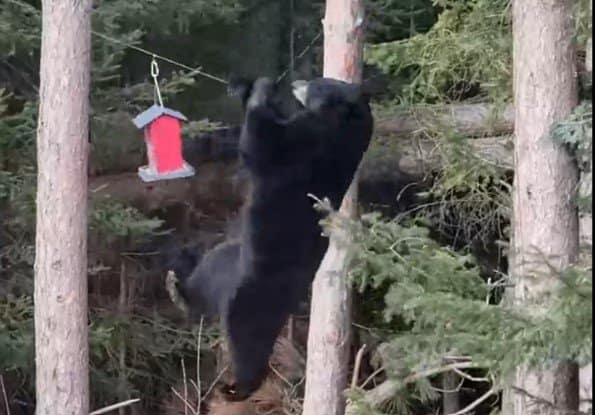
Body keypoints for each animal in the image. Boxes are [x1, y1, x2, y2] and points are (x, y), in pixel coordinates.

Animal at [168, 75, 372, 404]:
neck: (345, 123)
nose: (297, 81)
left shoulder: (310, 145)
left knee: (247, 344)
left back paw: (238, 387)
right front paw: (243, 87)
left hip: (252, 302)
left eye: (317, 83)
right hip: (231, 265)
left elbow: (262, 144)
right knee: (209, 273)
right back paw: (179, 290)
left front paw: (262, 91)